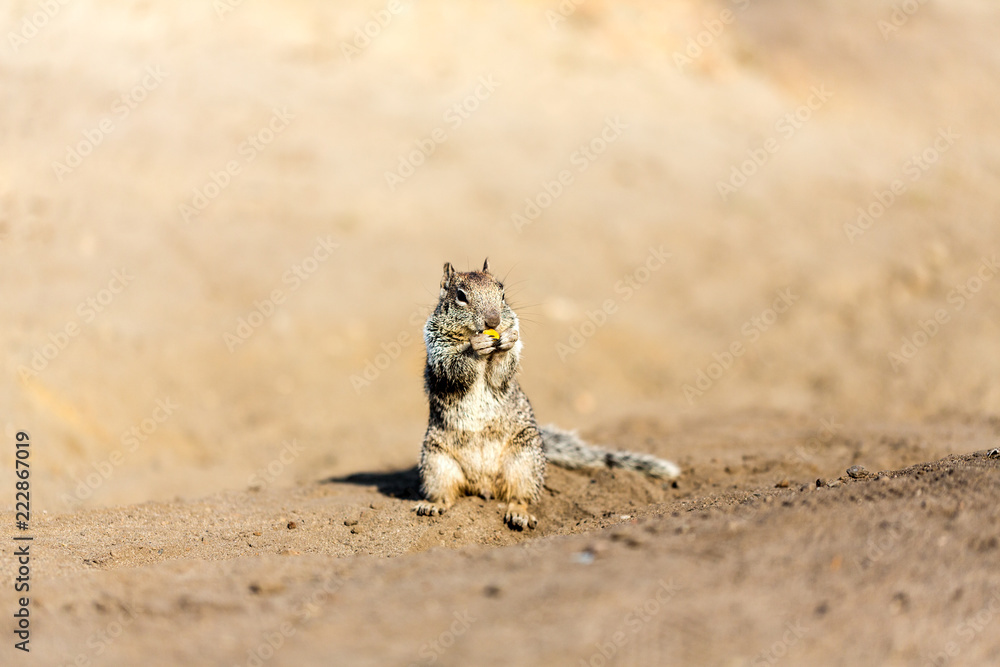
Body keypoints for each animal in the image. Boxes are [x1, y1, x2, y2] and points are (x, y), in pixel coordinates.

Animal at [415, 259, 681, 530]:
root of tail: (483, 484)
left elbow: (501, 372)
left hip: (525, 458)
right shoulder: (437, 349)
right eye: (460, 296)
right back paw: (433, 505)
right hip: (436, 462)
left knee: (519, 496)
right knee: (447, 494)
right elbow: (454, 368)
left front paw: (507, 342)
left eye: (502, 293)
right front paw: (476, 348)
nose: (493, 320)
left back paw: (518, 513)